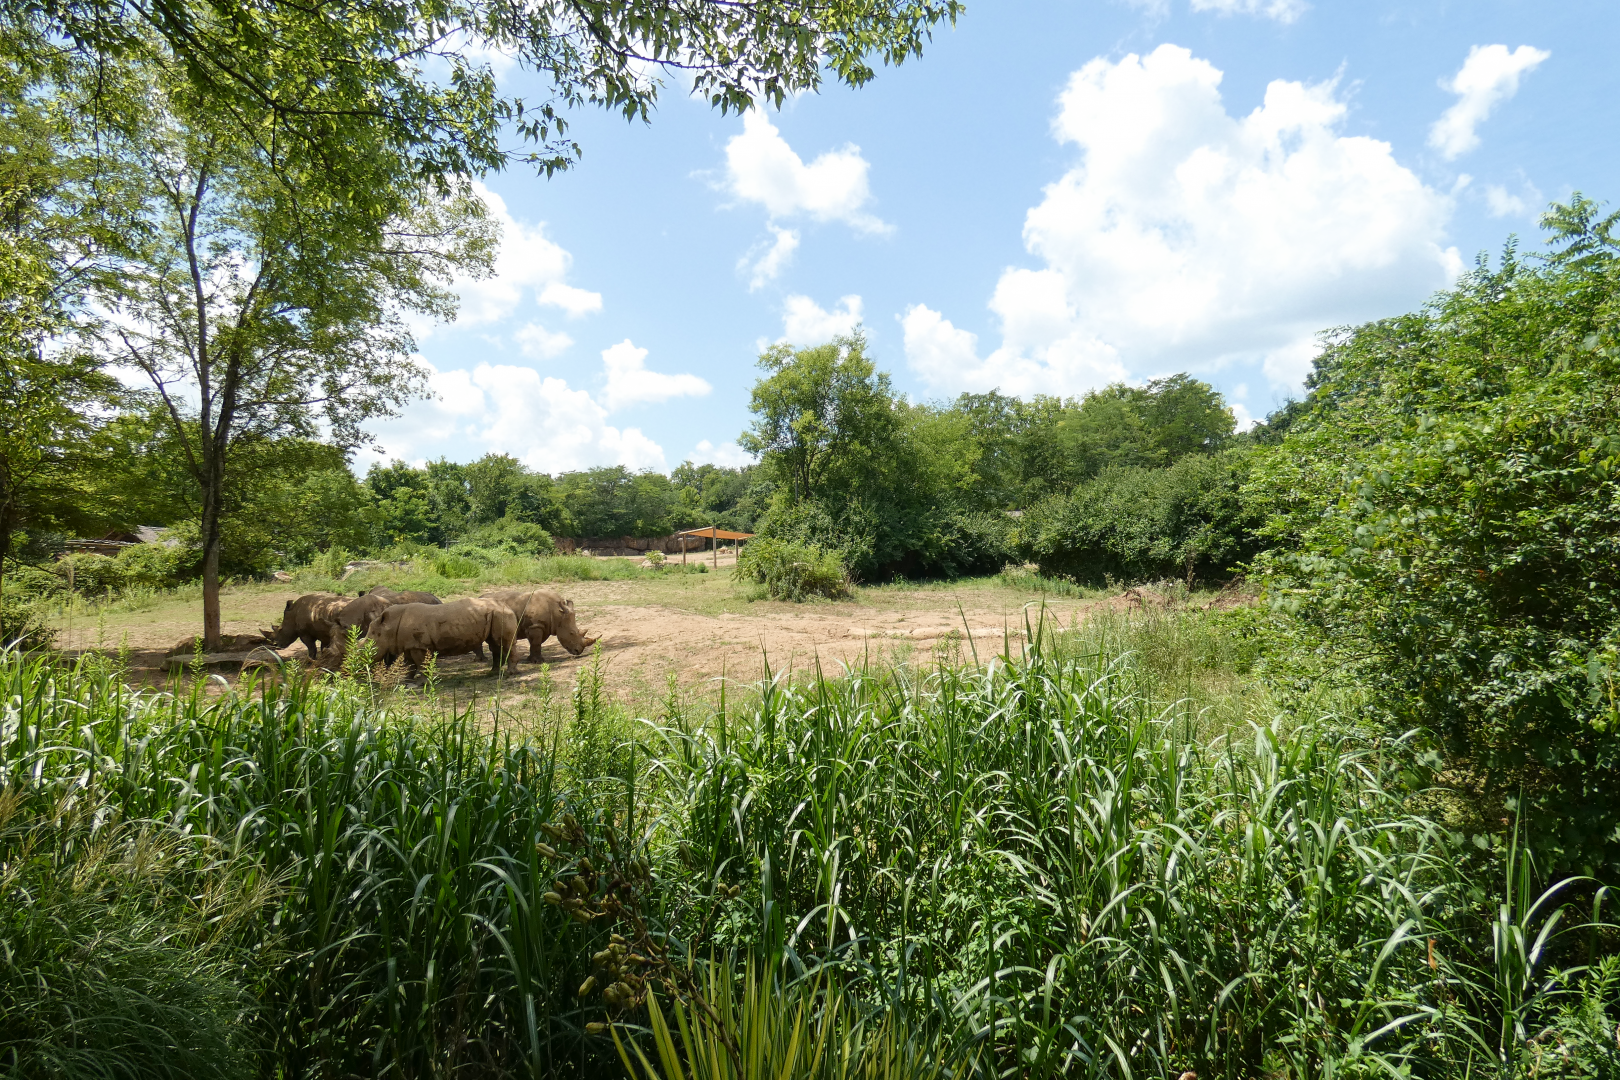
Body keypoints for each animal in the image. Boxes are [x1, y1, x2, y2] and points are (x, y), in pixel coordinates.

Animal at [365, 598, 516, 675]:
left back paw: (510, 673)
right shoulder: (409, 645)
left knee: (505, 643)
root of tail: (506, 605)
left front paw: (420, 683)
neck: (390, 626)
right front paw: (407, 683)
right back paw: (493, 672)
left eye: (369, 646)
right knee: (494, 644)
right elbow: (409, 665)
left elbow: (421, 664)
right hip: (495, 614)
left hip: (501, 614)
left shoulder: (419, 646)